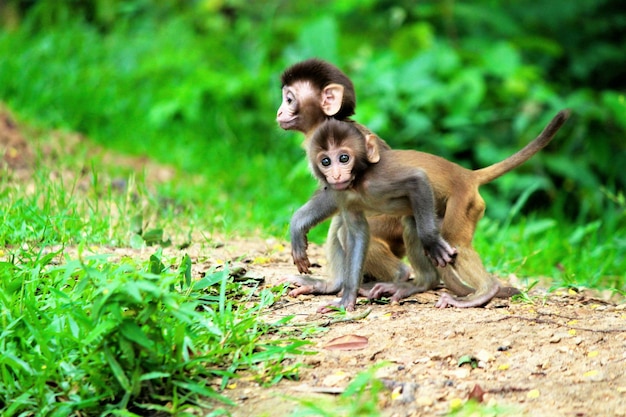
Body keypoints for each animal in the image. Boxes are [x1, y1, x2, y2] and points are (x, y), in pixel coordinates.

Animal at [290, 118, 456, 310]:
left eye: (344, 158)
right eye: (325, 162)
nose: (336, 175)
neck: (358, 182)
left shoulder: (379, 178)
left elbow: (418, 180)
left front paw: (432, 241)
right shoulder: (344, 195)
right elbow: (356, 233)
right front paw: (347, 296)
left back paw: (408, 278)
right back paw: (333, 285)